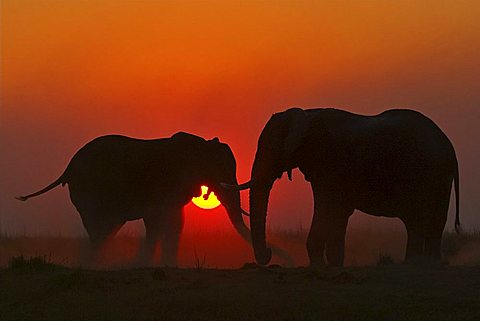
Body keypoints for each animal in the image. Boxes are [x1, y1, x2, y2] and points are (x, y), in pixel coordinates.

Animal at [15, 131, 255, 266]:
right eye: (220, 169)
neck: (201, 144)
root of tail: (68, 168)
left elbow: (175, 223)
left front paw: (167, 264)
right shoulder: (162, 185)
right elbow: (157, 221)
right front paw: (148, 264)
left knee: (105, 229)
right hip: (93, 190)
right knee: (102, 227)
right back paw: (95, 264)